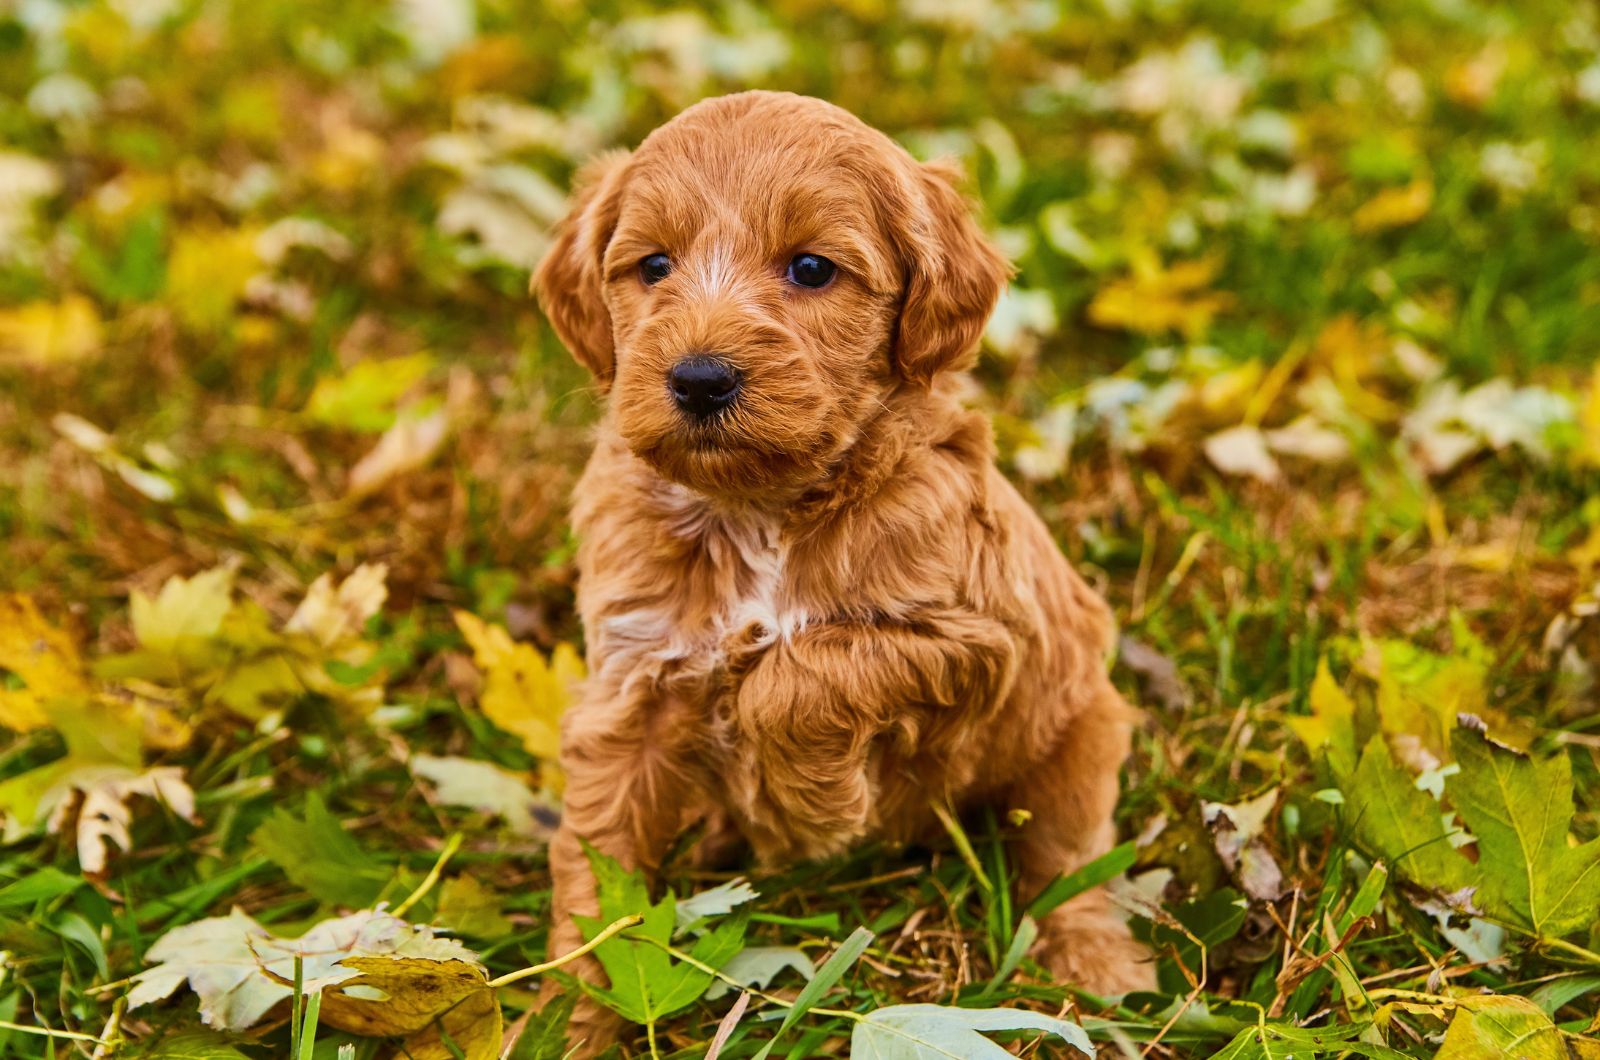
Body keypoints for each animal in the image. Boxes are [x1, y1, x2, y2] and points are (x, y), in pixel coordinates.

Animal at [537, 91, 1152, 1056]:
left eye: (812, 269)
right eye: (654, 265)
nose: (699, 379)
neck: (757, 511)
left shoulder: (980, 639)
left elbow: (801, 673)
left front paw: (813, 807)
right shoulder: (631, 686)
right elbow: (601, 871)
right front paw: (568, 1020)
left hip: (1076, 732)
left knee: (1069, 860)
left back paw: (1096, 967)